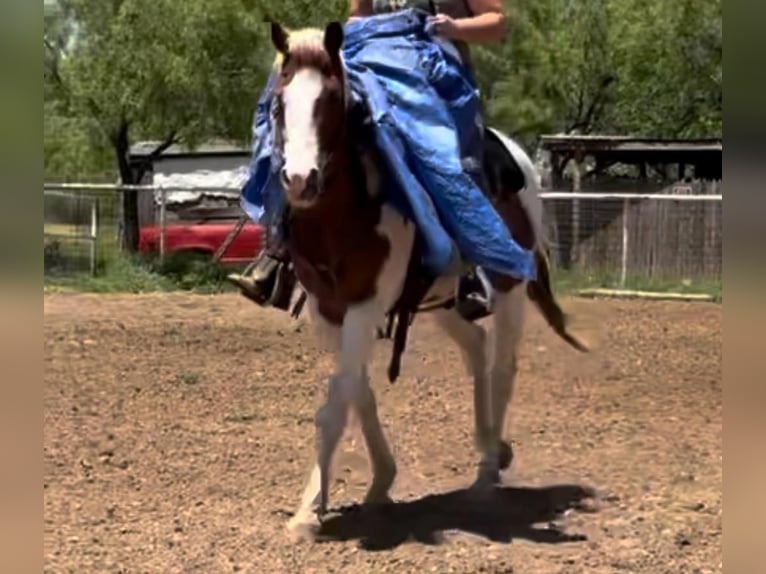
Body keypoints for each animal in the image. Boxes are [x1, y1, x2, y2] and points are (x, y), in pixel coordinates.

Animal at [267, 21, 587, 541]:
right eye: (279, 102)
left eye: (331, 100)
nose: (300, 180)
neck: (344, 213)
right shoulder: (327, 310)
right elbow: (358, 391)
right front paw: (380, 482)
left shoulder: (365, 304)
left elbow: (336, 401)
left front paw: (308, 510)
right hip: (443, 301)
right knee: (476, 347)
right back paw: (490, 447)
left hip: (509, 289)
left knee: (503, 366)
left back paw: (486, 475)